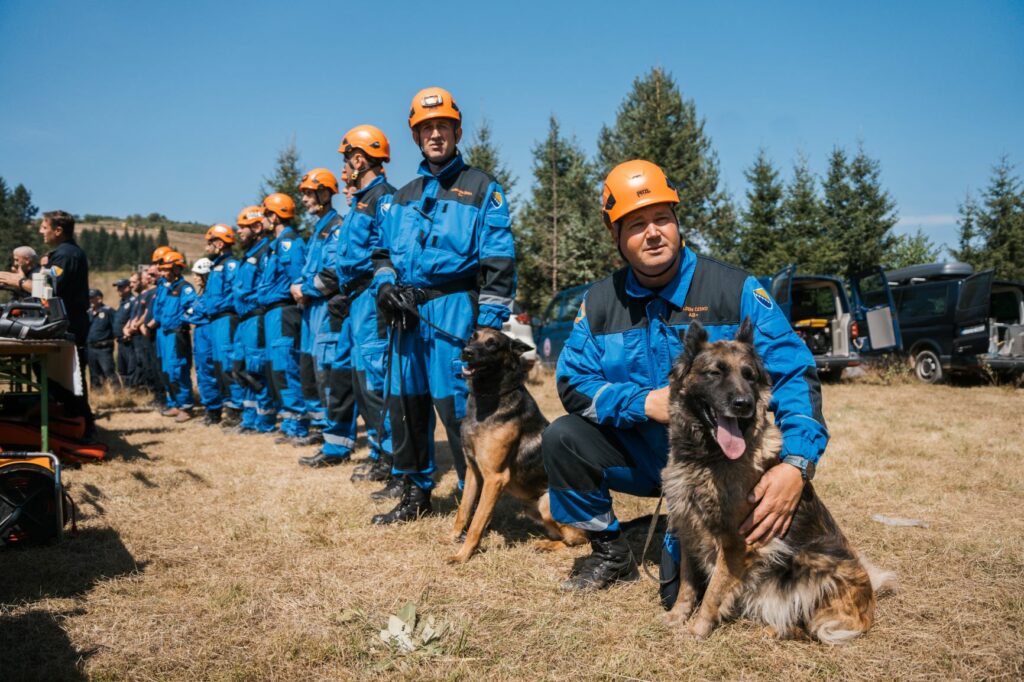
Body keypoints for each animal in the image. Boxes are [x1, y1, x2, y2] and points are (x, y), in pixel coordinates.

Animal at [446, 327, 585, 561]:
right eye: (472, 337)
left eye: (493, 344)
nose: (466, 352)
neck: (488, 397)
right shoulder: (473, 471)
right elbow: (463, 510)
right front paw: (452, 538)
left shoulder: (495, 478)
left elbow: (477, 522)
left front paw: (462, 555)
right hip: (532, 507)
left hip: (547, 502)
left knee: (580, 540)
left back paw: (548, 545)